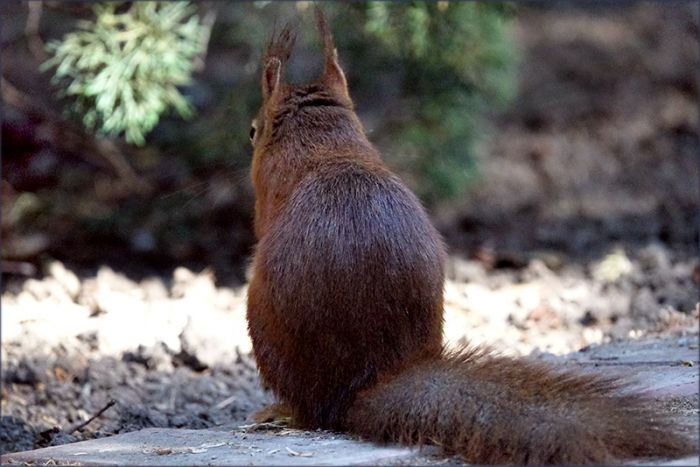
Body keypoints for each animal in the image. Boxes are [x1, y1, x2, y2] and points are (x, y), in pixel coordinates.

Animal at [245, 8, 695, 465]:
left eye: (252, 131)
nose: (251, 134)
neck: (325, 140)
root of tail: (361, 383)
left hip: (262, 327)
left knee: (308, 411)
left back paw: (280, 410)